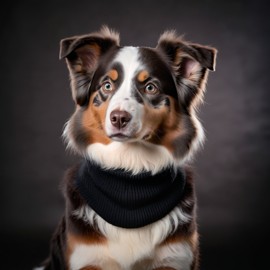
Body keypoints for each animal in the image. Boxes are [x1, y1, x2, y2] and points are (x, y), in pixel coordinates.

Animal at [36, 25, 217, 270]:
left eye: (150, 87)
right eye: (107, 85)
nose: (119, 118)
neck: (130, 174)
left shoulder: (176, 258)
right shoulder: (86, 258)